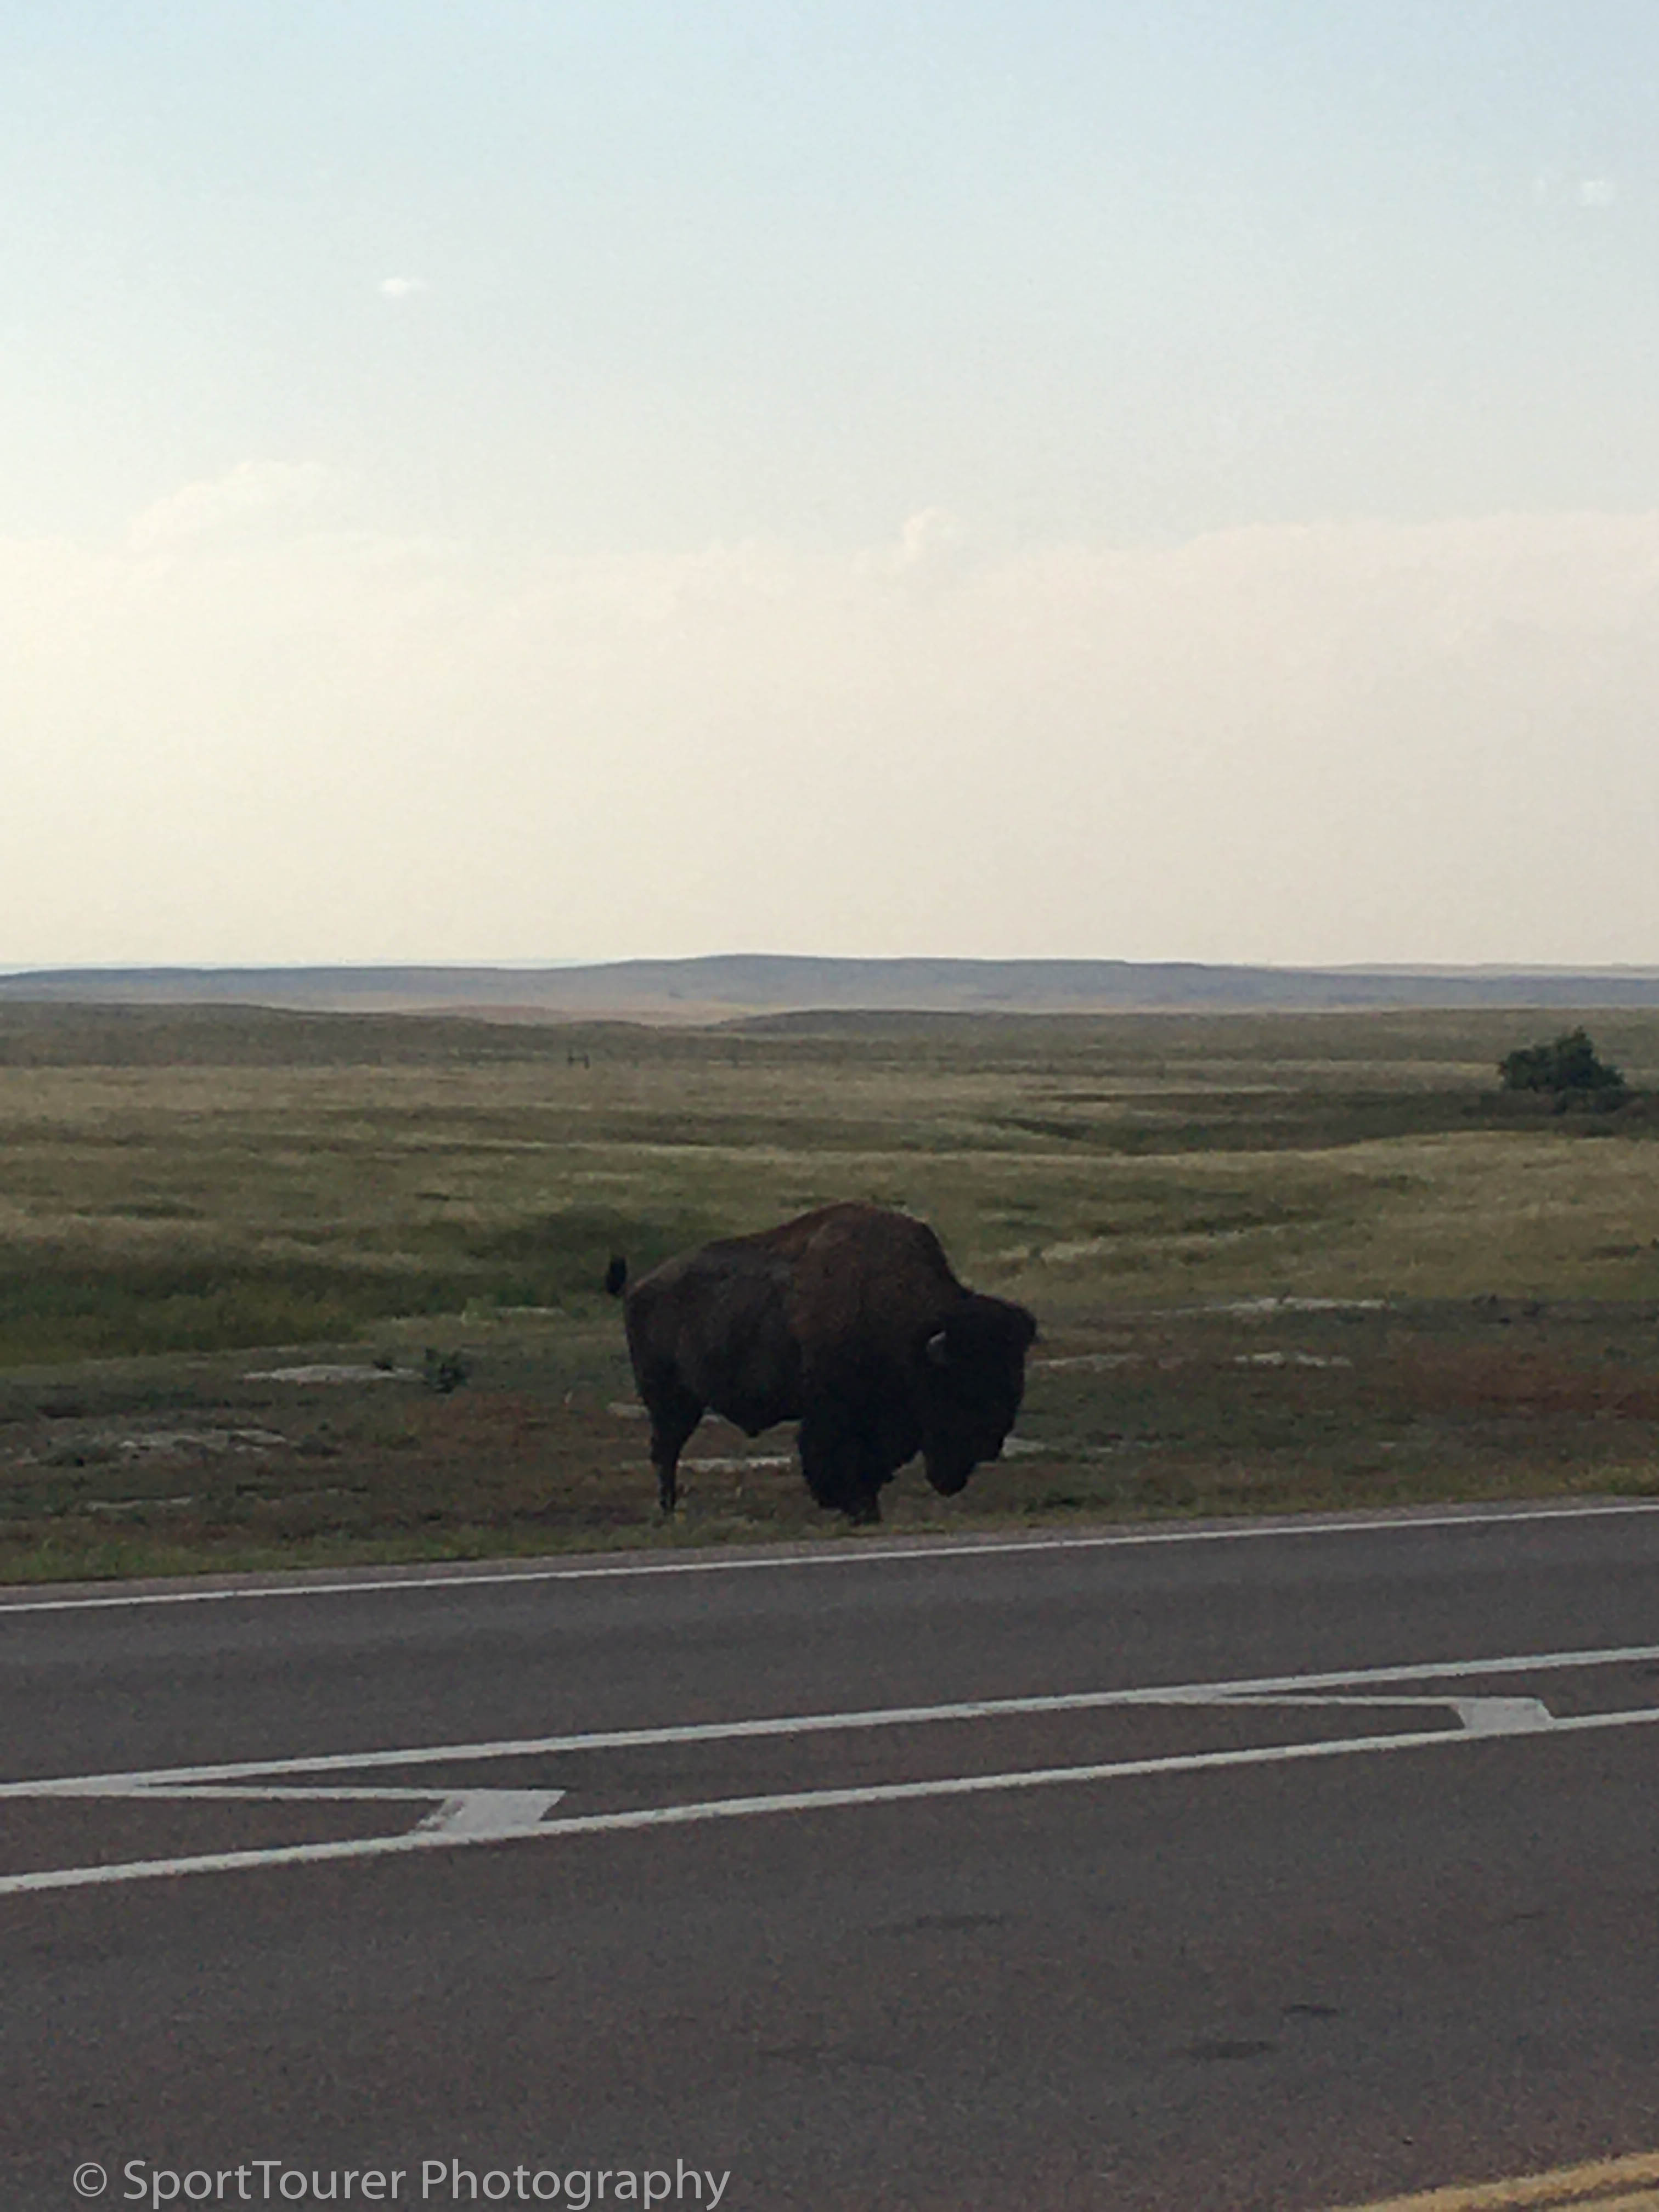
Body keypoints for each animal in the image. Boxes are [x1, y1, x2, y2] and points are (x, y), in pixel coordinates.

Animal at [609, 1203, 1037, 1524]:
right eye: (962, 1386)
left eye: (1014, 1377)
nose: (991, 1441)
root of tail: (638, 1287)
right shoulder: (836, 1414)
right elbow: (839, 1462)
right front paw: (857, 1510)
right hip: (672, 1402)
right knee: (665, 1451)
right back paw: (668, 1511)